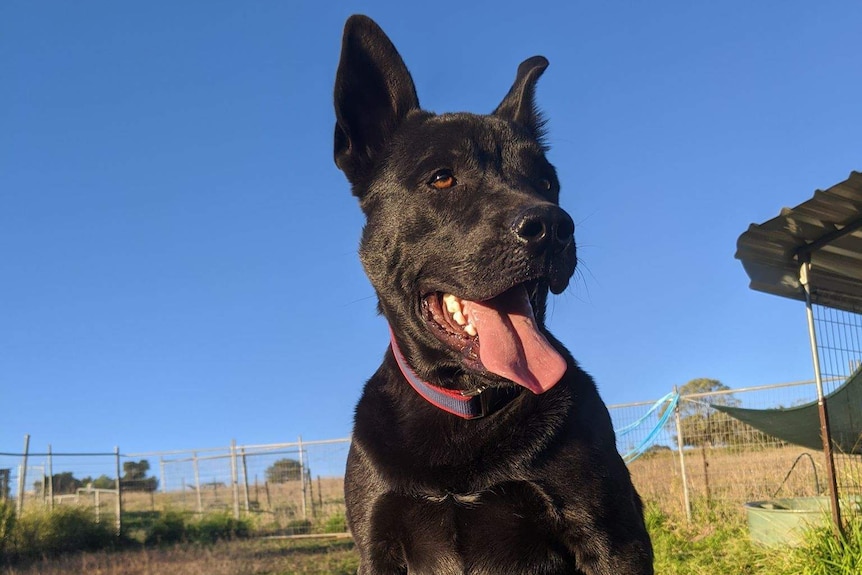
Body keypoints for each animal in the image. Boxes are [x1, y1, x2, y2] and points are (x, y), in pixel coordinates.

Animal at [332, 14, 656, 575]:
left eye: (546, 182)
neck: (466, 406)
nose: (552, 227)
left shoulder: (612, 539)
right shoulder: (377, 544)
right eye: (442, 178)